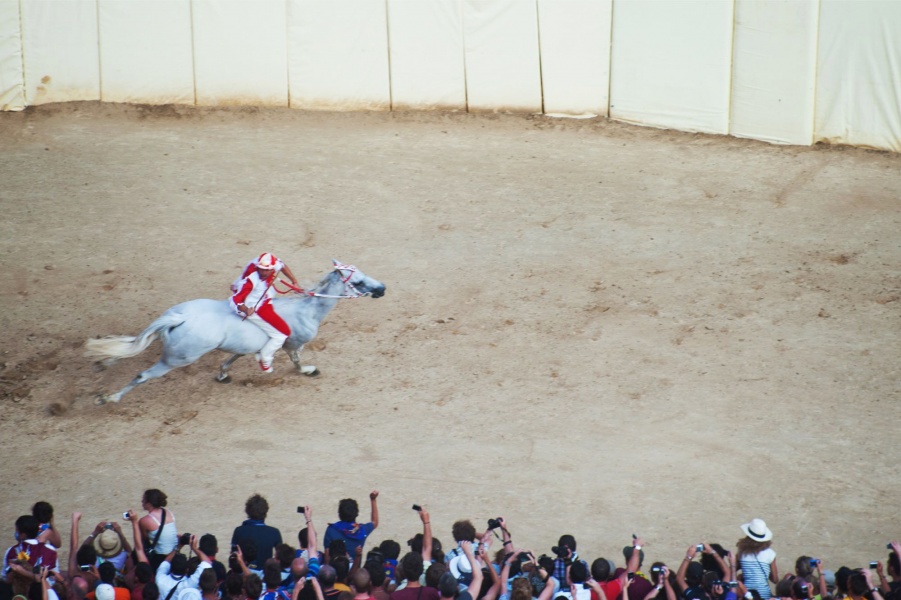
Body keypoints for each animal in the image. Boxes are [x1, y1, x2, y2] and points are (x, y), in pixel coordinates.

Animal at [81, 262, 384, 406]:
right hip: (176, 359)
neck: (307, 309)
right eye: (358, 282)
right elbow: (296, 360)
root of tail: (179, 317)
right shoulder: (292, 344)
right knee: (142, 376)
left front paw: (223, 374)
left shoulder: (247, 346)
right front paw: (308, 370)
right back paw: (108, 398)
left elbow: (232, 358)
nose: (382, 288)